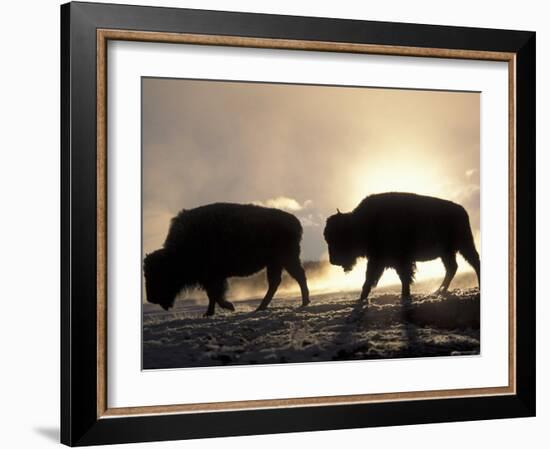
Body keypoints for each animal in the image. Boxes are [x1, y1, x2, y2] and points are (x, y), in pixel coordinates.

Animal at [144, 203, 310, 316]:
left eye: (158, 274)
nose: (150, 298)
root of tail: (295, 221)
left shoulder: (213, 277)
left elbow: (216, 294)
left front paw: (228, 306)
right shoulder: (210, 279)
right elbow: (212, 295)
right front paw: (209, 313)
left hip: (286, 259)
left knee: (298, 277)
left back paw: (303, 302)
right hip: (275, 263)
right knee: (276, 282)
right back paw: (261, 307)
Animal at [326, 192, 480, 300]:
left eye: (338, 238)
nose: (333, 261)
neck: (361, 223)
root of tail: (461, 210)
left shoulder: (395, 260)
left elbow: (401, 277)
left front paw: (405, 295)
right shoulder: (379, 260)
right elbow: (371, 278)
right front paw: (362, 298)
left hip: (464, 246)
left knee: (473, 262)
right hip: (447, 252)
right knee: (452, 268)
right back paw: (439, 291)